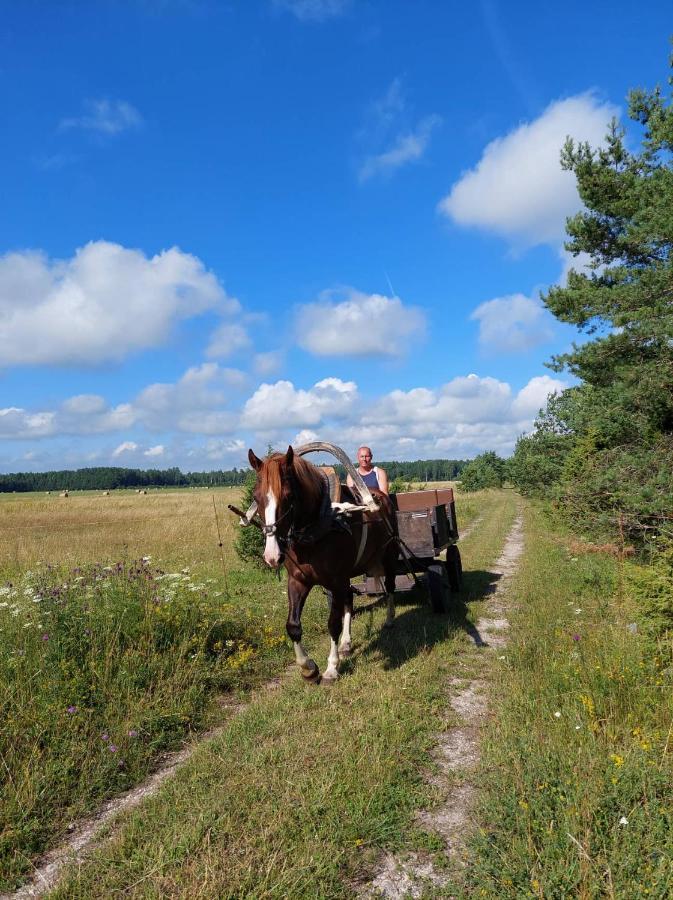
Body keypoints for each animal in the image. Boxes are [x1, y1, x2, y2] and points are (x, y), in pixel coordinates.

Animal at [248, 446, 400, 684]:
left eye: (288, 496)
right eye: (256, 497)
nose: (272, 555)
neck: (317, 527)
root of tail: (380, 496)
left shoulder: (336, 581)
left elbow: (333, 624)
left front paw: (331, 668)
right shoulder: (298, 580)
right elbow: (293, 626)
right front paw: (308, 668)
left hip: (389, 555)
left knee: (391, 586)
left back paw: (390, 619)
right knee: (349, 599)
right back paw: (346, 643)